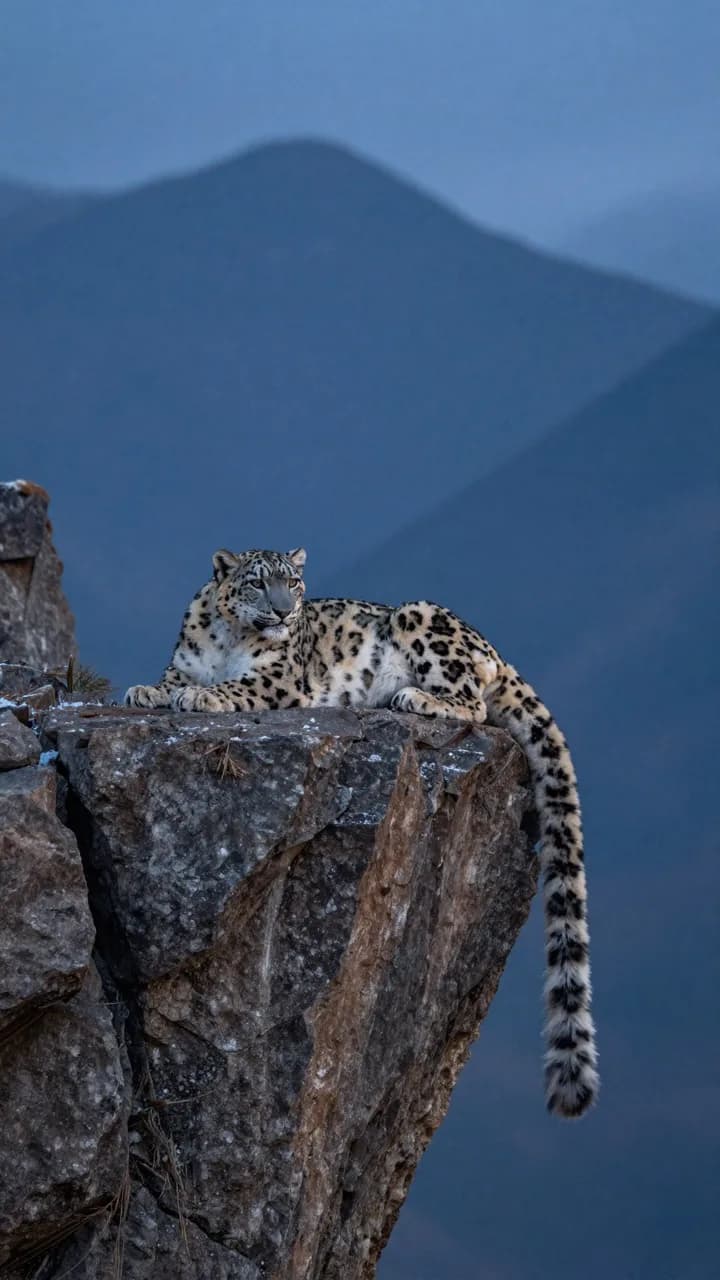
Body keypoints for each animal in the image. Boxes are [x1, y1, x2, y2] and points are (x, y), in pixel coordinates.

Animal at [126, 546, 598, 1118]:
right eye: (258, 584)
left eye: (294, 584)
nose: (283, 612)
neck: (228, 639)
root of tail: (495, 651)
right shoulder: (185, 661)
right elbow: (171, 678)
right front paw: (146, 690)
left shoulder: (280, 678)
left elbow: (235, 685)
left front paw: (201, 697)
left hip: (424, 620)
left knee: (472, 701)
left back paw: (415, 698)